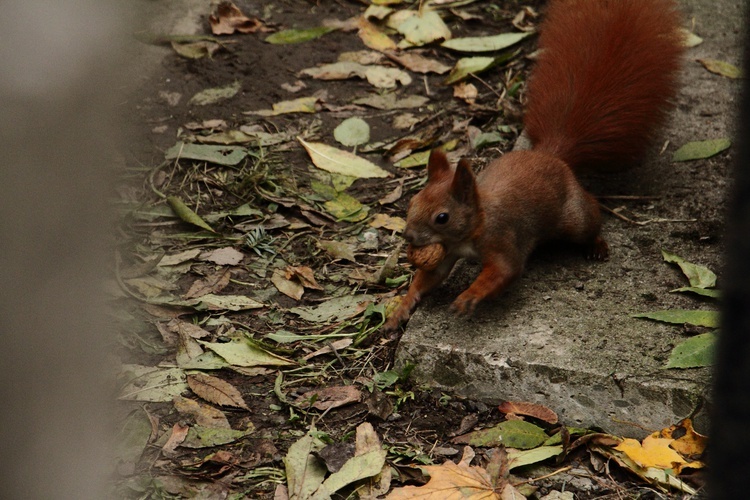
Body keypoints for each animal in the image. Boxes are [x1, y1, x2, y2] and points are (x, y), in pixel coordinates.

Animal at [384, 0, 684, 332]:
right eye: (412, 203)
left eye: (442, 217)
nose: (409, 237)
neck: (475, 224)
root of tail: (552, 155)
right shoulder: (447, 252)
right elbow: (428, 279)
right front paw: (400, 309)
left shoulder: (502, 238)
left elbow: (505, 270)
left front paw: (469, 296)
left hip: (574, 218)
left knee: (591, 217)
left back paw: (597, 245)